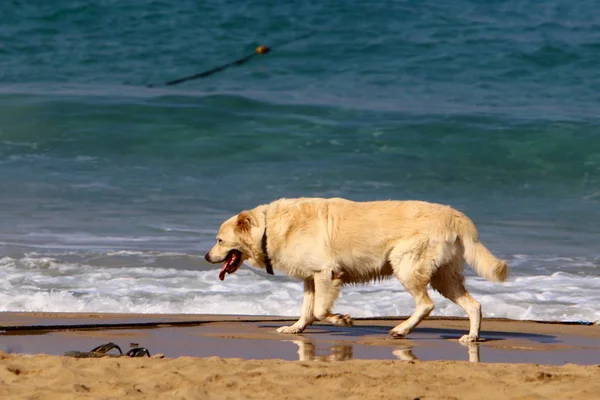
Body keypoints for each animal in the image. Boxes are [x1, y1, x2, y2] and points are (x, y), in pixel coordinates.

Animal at [204, 195, 508, 342]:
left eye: (219, 240)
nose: (206, 256)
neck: (269, 229)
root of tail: (456, 215)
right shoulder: (311, 278)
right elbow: (307, 310)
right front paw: (295, 328)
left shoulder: (326, 273)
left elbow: (320, 310)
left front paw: (342, 319)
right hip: (445, 277)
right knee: (474, 305)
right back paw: (472, 336)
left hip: (406, 264)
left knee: (426, 304)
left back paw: (401, 330)